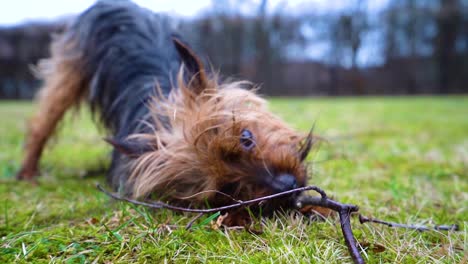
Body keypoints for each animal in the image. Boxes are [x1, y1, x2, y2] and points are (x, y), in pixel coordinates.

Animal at [17, 0, 314, 224]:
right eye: (226, 188)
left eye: (246, 137)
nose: (288, 185)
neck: (162, 112)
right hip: (67, 76)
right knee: (42, 125)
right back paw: (28, 173)